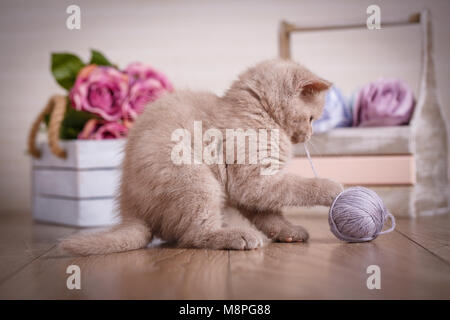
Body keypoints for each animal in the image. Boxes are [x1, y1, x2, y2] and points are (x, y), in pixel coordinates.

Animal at [59, 59, 342, 255]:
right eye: (312, 118)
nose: (308, 135)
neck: (257, 112)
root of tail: (130, 206)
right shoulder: (254, 180)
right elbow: (298, 186)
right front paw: (333, 188)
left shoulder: (248, 189)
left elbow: (269, 214)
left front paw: (289, 232)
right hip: (196, 179)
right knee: (193, 235)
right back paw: (236, 236)